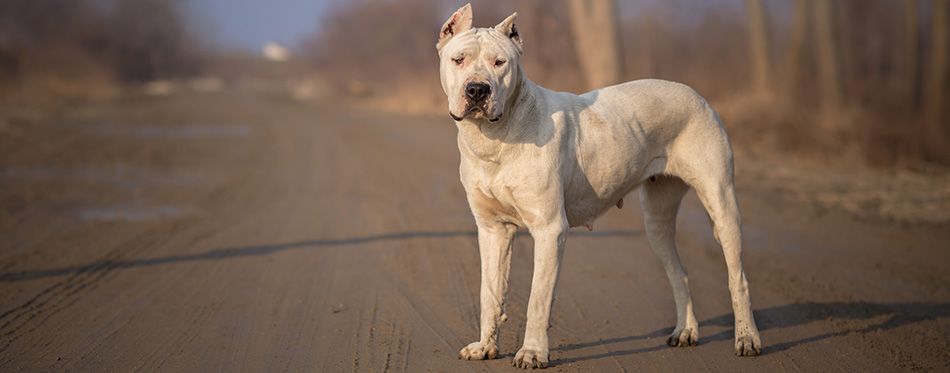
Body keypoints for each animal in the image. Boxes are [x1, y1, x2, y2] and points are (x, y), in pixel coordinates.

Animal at [440, 4, 768, 368]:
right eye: (459, 60)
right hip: (657, 222)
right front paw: (485, 346)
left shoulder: (550, 230)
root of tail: (694, 93)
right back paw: (686, 331)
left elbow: (538, 299)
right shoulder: (493, 230)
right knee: (678, 272)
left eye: (500, 63)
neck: (495, 138)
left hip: (722, 204)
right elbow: (490, 293)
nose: (477, 90)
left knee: (738, 277)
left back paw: (747, 338)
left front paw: (533, 352)